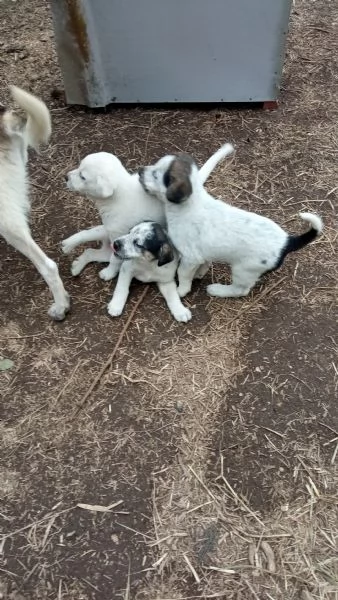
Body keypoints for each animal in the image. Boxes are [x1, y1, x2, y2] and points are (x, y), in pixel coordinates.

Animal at [61, 143, 230, 282]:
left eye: (83, 176)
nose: (65, 177)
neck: (117, 197)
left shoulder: (117, 236)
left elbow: (115, 258)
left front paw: (109, 273)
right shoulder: (111, 230)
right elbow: (87, 233)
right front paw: (68, 244)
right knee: (90, 250)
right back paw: (76, 264)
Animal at [139, 143, 324, 298]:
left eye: (155, 174)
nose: (140, 170)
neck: (190, 204)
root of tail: (287, 242)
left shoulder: (190, 257)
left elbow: (183, 275)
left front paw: (180, 291)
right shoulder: (202, 254)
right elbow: (204, 264)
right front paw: (200, 273)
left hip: (243, 270)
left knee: (240, 290)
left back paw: (217, 290)